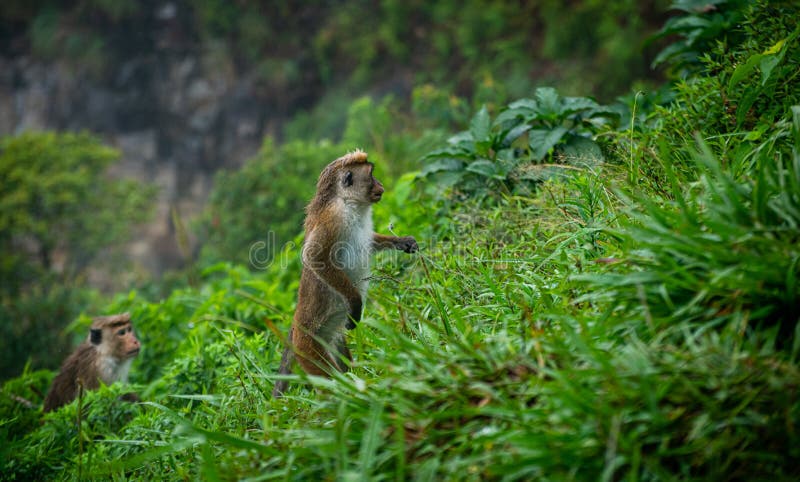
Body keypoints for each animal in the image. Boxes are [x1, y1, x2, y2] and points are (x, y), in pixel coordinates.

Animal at [274, 150, 416, 396]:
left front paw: (402, 241)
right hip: (306, 345)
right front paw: (355, 301)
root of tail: (295, 326)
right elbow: (315, 257)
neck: (348, 203)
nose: (381, 186)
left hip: (328, 335)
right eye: (371, 175)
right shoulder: (333, 218)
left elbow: (369, 243)